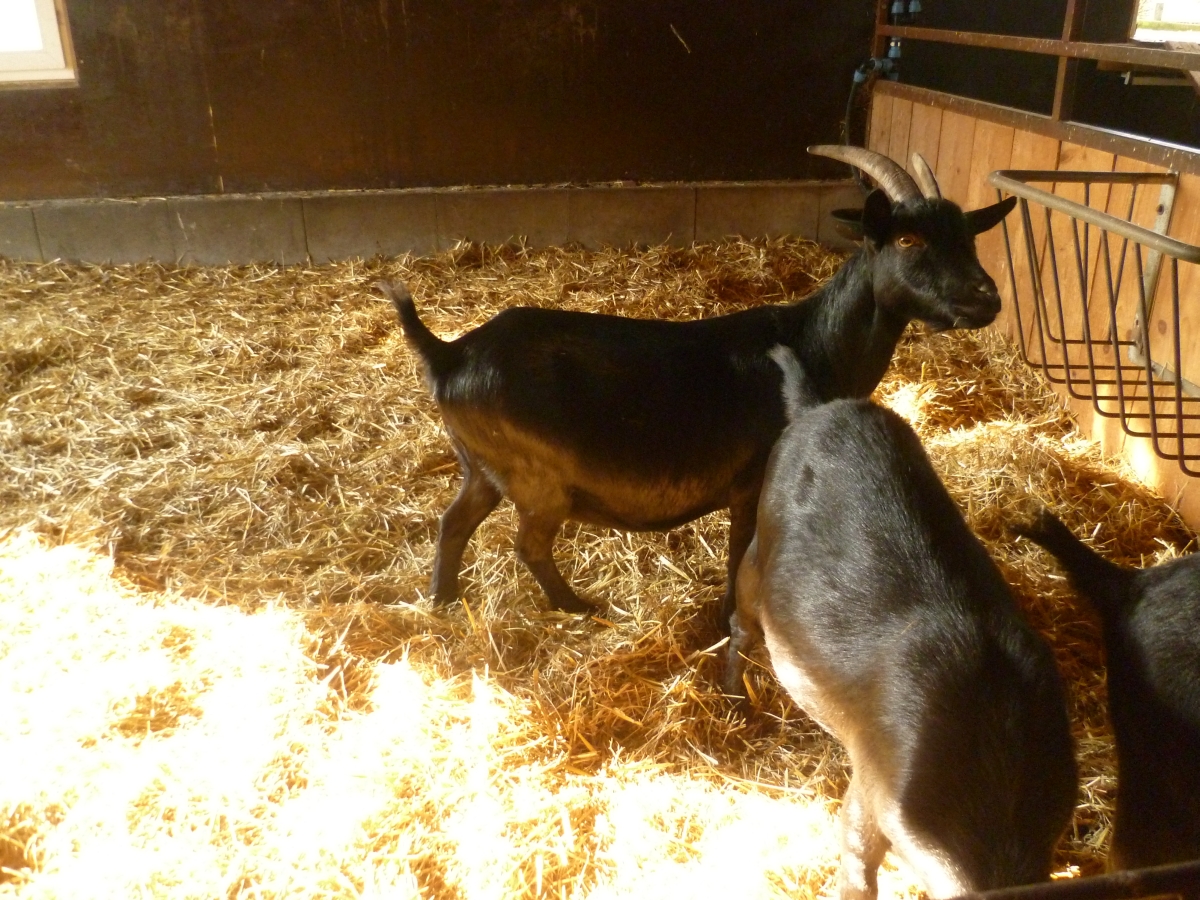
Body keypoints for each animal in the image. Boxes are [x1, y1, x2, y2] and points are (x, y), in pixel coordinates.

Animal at [382, 145, 1017, 615]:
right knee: (528, 544)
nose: (986, 299)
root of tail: (448, 353)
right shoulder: (751, 485)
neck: (813, 342)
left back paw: (444, 602)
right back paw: (577, 606)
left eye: (970, 237)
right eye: (908, 239)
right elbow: (740, 556)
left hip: (482, 465)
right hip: (539, 478)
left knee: (454, 523)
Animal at [726, 348, 1077, 900]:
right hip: (759, 547)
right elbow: (854, 847)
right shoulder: (879, 775)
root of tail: (817, 406)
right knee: (741, 619)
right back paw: (735, 702)